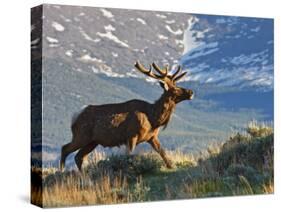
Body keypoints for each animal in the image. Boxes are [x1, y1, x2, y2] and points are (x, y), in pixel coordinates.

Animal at [60, 60, 194, 171]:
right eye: (175, 89)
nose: (191, 92)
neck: (153, 119)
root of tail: (74, 116)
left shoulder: (152, 137)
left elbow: (162, 152)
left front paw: (171, 166)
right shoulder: (131, 135)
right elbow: (129, 156)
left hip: (92, 141)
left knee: (79, 156)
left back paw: (82, 174)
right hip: (81, 135)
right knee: (65, 148)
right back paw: (61, 171)